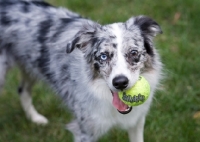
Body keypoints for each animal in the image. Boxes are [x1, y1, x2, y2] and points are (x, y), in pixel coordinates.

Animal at [0, 0, 162, 141]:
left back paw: (36, 118)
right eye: (103, 56)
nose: (120, 82)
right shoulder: (85, 131)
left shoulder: (137, 122)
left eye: (133, 53)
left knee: (22, 90)